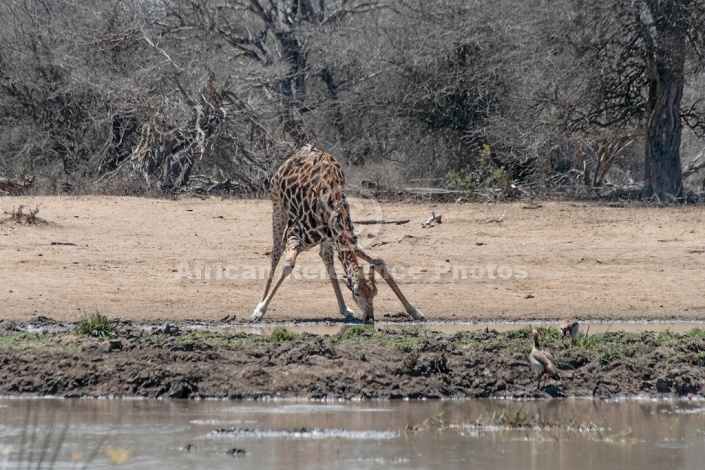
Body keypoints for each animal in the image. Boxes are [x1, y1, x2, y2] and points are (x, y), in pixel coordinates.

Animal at [250, 145, 426, 324]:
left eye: (375, 293)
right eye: (356, 293)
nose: (369, 318)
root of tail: (302, 150)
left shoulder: (348, 239)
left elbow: (379, 261)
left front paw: (415, 311)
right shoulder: (295, 235)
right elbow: (288, 265)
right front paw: (259, 310)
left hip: (327, 239)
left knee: (326, 257)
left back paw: (345, 310)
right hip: (278, 207)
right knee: (276, 252)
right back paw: (260, 304)